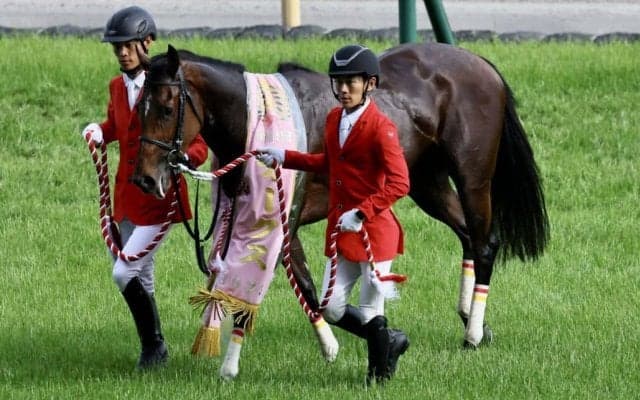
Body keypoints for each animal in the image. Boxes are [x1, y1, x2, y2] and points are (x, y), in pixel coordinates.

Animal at [133, 42, 549, 374]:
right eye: (139, 107)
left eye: (167, 108)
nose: (144, 180)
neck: (257, 119)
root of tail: (479, 62)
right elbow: (297, 287)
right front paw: (335, 344)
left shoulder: (282, 219)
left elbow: (281, 286)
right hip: (426, 182)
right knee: (466, 236)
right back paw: (470, 320)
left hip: (472, 179)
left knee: (484, 242)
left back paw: (473, 333)